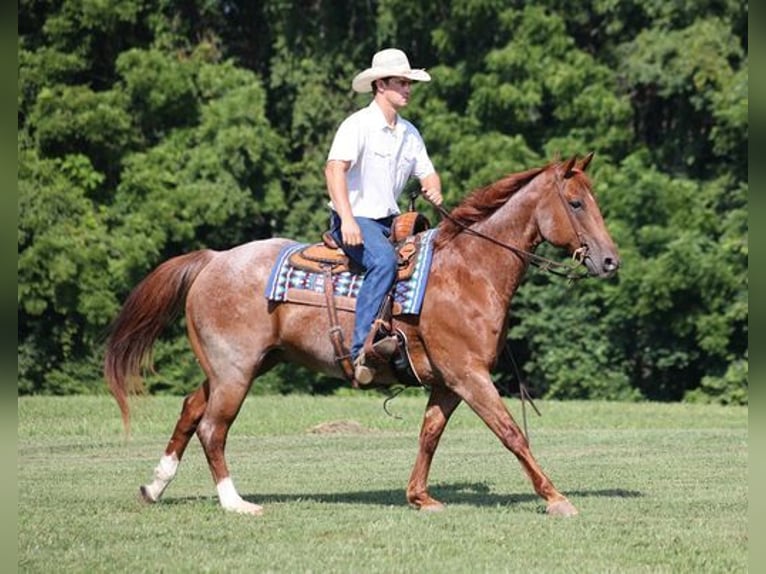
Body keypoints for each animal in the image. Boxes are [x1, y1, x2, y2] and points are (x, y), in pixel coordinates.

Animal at [103, 152, 616, 516]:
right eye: (575, 203)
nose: (611, 260)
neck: (469, 269)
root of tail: (213, 259)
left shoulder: (448, 383)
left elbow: (429, 434)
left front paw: (419, 496)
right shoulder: (469, 375)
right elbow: (511, 433)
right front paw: (555, 497)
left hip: (240, 366)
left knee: (191, 409)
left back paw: (155, 486)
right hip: (235, 371)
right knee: (213, 428)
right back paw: (236, 503)